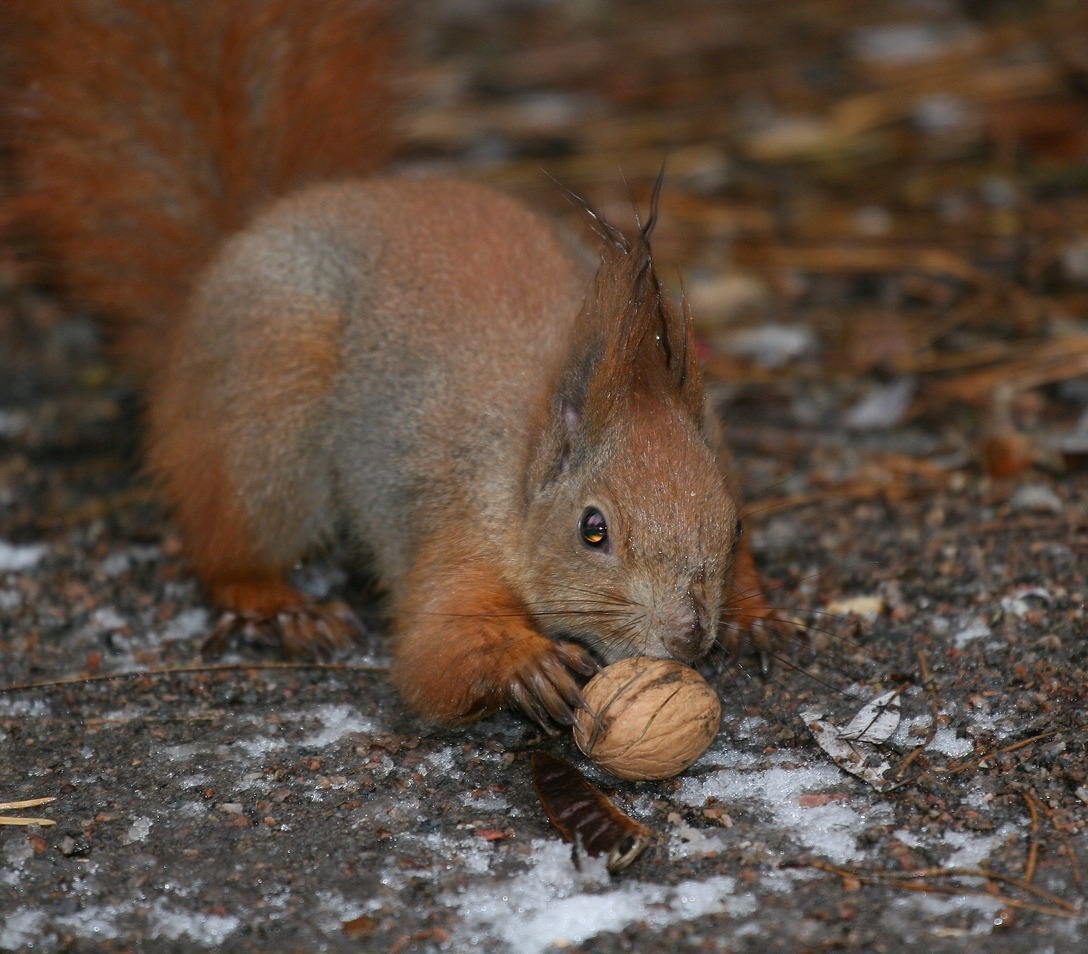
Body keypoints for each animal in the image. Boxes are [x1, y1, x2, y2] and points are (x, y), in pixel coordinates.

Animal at [0, 0, 783, 731]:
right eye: (594, 531)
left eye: (736, 526)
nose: (689, 636)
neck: (518, 469)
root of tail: (232, 251)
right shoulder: (456, 534)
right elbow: (434, 653)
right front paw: (526, 663)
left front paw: (755, 614)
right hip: (269, 417)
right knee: (227, 543)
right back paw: (278, 604)